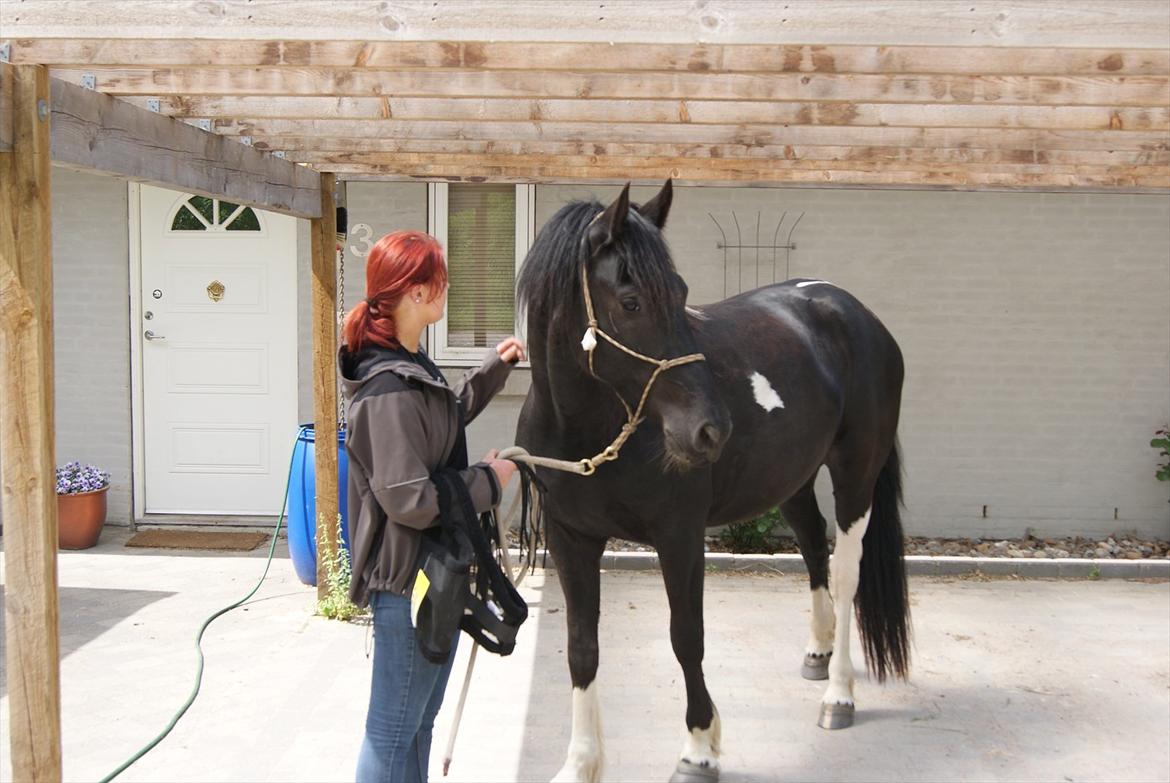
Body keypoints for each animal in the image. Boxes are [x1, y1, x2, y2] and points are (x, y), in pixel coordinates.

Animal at [517, 180, 907, 777]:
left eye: (681, 294)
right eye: (630, 303)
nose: (711, 430)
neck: (585, 432)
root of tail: (855, 312)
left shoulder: (679, 535)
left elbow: (687, 637)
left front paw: (699, 746)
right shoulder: (570, 538)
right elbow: (581, 647)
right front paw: (580, 764)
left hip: (855, 476)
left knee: (845, 573)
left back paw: (838, 694)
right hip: (792, 481)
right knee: (814, 548)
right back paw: (817, 653)